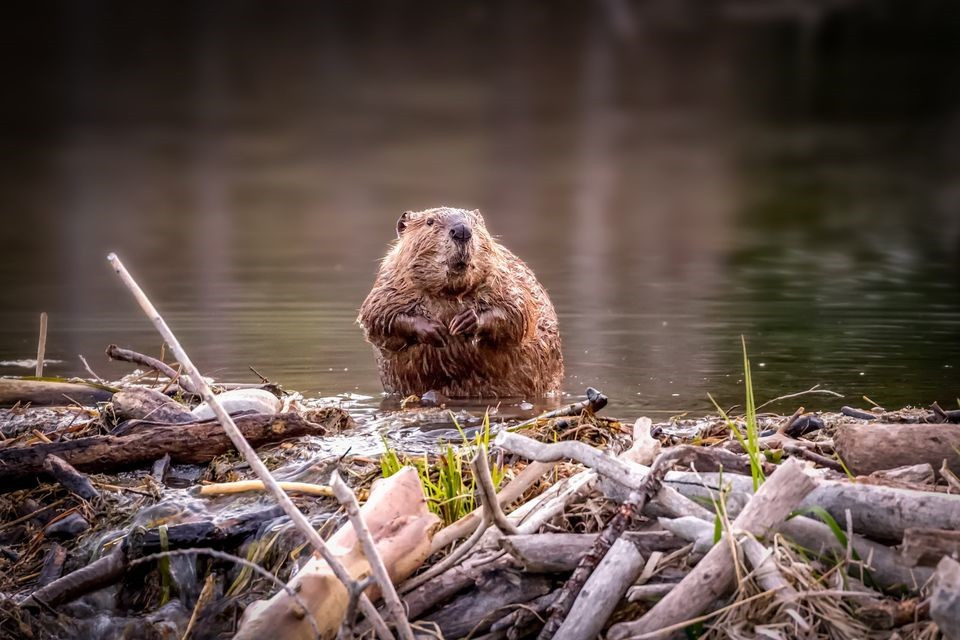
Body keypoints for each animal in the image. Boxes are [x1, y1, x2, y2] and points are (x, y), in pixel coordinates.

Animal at [360, 208, 564, 398]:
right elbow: (377, 317)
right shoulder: (389, 284)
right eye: (429, 221)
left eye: (474, 222)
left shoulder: (505, 277)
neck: (450, 292)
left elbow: (518, 311)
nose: (462, 230)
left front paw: (464, 321)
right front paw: (435, 329)